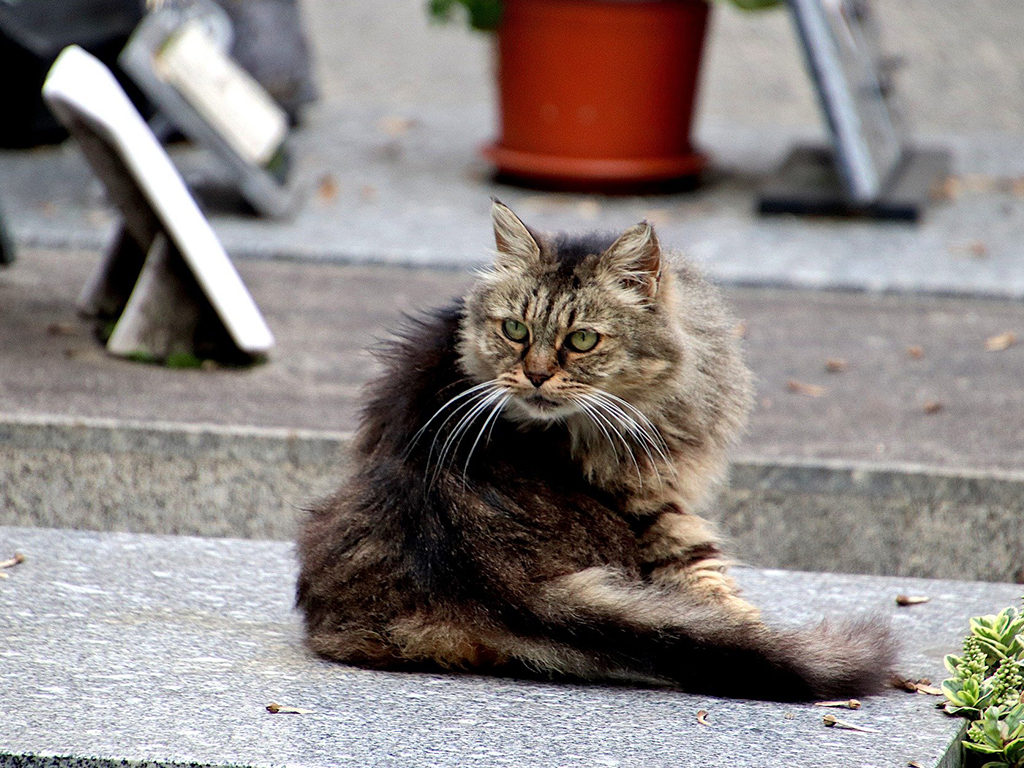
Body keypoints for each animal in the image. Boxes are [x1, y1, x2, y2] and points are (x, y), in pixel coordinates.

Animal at [292, 199, 892, 704]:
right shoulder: (658, 503)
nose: (535, 375)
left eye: (582, 340)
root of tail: (480, 566)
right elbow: (716, 590)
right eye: (515, 330)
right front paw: (761, 633)